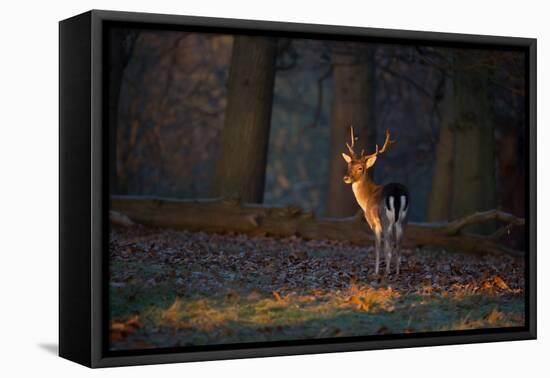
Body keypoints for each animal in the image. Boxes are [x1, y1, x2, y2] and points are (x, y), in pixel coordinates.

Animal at [342, 127, 412, 274]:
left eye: (360, 168)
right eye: (349, 164)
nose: (346, 178)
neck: (367, 198)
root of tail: (396, 192)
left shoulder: (373, 222)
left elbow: (378, 247)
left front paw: (376, 271)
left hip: (385, 219)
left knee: (389, 246)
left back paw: (385, 272)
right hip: (404, 219)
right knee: (399, 245)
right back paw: (397, 272)